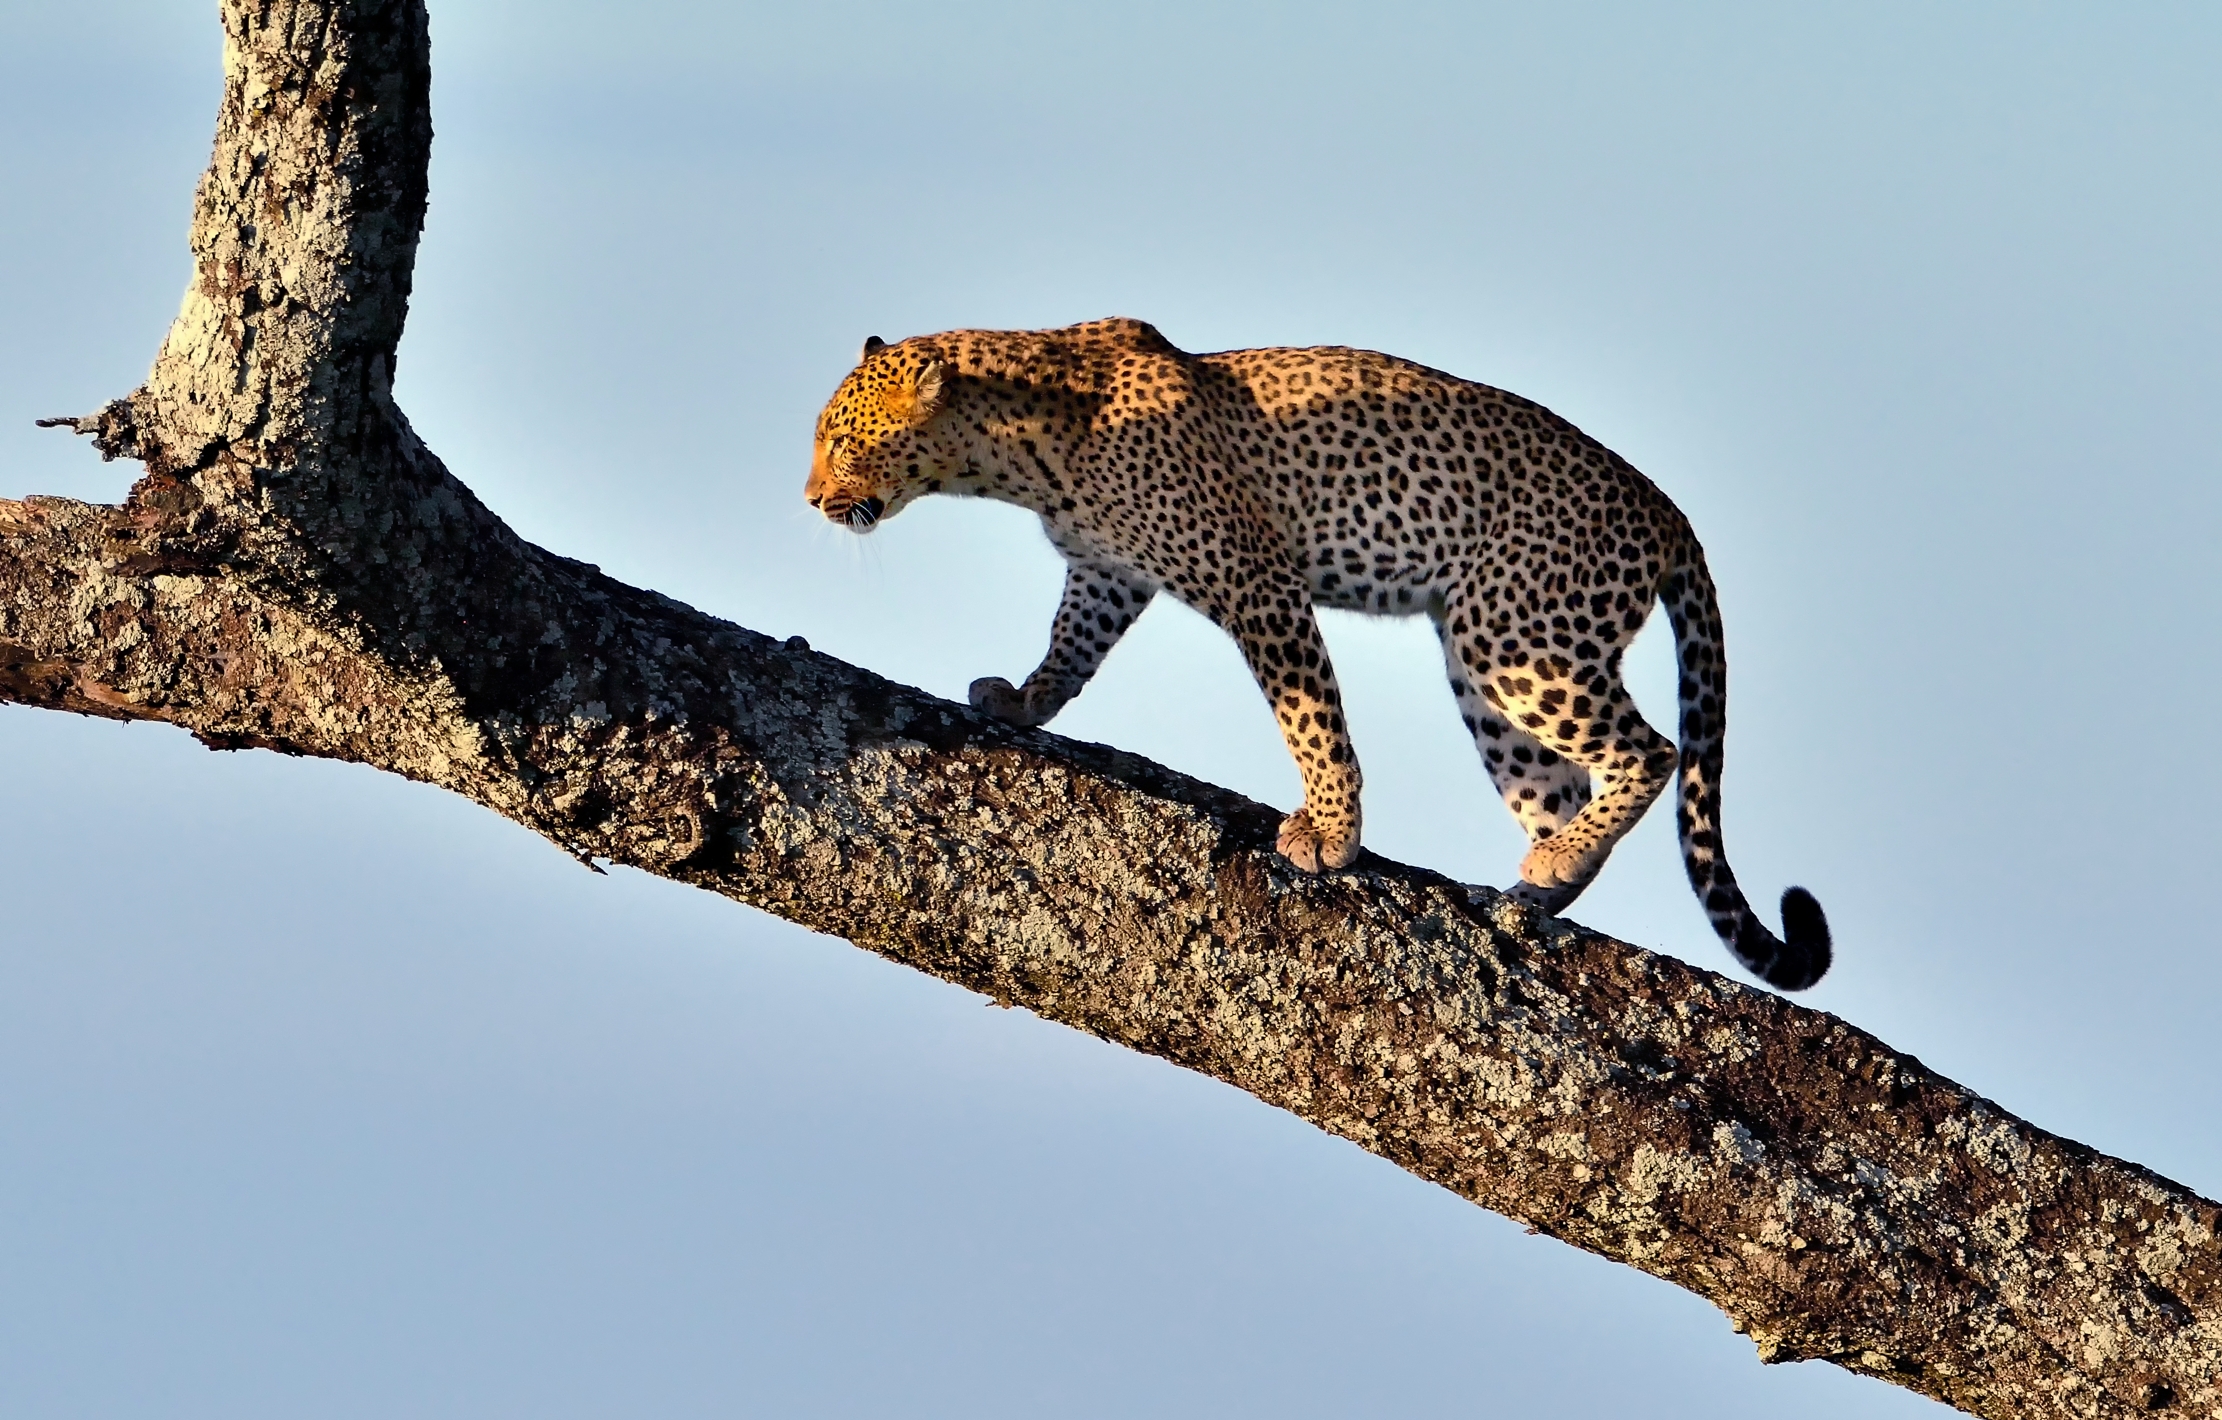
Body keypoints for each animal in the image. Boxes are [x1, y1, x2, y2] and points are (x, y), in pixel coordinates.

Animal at [805, 318, 1831, 991]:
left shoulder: (1258, 580)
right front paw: (1020, 700)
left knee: (1651, 750)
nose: (811, 499)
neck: (1015, 449)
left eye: (844, 441)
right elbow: (1069, 649)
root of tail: (1665, 508)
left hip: (1514, 632)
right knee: (1564, 782)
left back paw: (1555, 862)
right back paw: (1543, 882)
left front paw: (1330, 831)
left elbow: (1310, 715)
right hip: (1490, 671)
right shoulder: (1106, 573)